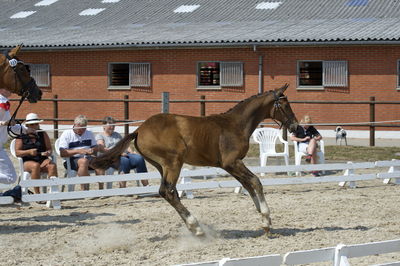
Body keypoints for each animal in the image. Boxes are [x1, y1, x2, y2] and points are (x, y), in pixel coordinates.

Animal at [90, 84, 296, 236]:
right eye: (286, 105)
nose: (296, 126)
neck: (236, 124)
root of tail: (139, 129)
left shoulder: (230, 166)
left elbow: (248, 185)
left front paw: (265, 221)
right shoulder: (232, 162)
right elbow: (255, 181)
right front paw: (266, 219)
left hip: (162, 165)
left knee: (169, 192)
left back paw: (194, 227)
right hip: (174, 162)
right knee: (168, 191)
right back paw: (196, 227)